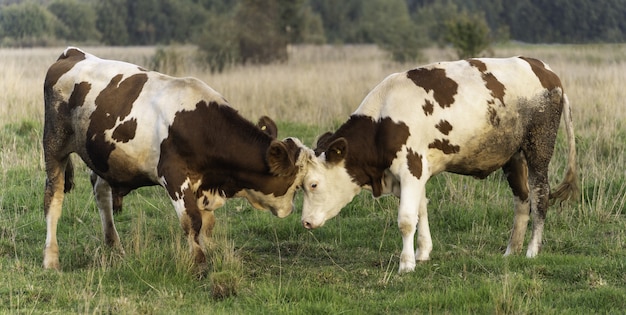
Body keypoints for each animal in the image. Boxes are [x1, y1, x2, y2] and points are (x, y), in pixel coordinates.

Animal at [300, 56, 576, 274]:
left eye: (313, 184)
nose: (305, 222)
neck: (383, 122)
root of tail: (543, 67)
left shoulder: (411, 168)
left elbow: (406, 219)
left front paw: (406, 264)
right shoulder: (419, 170)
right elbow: (421, 210)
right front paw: (423, 252)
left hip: (539, 147)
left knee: (540, 196)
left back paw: (531, 250)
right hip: (513, 156)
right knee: (522, 199)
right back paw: (512, 250)